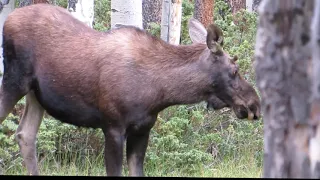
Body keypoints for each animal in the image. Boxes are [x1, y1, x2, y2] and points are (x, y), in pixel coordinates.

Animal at [0, 3, 260, 176]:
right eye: (234, 69)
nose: (254, 105)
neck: (160, 92)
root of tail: (8, 19)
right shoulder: (113, 127)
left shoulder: (142, 130)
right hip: (14, 79)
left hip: (36, 94)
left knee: (25, 134)